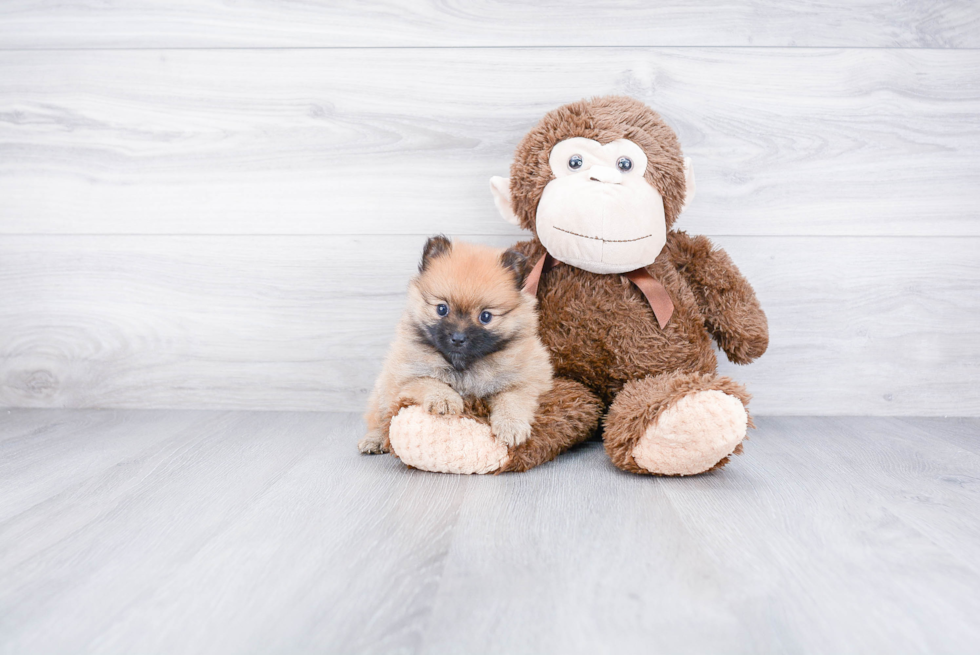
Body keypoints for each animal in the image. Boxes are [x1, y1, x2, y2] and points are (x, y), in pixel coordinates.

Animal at [360, 236, 556, 456]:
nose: (458, 337)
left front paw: (511, 426)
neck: (462, 365)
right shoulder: (405, 378)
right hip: (383, 390)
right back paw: (374, 439)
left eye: (485, 316)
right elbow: (429, 381)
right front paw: (445, 400)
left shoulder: (527, 381)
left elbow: (512, 400)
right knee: (380, 418)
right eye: (442, 309)